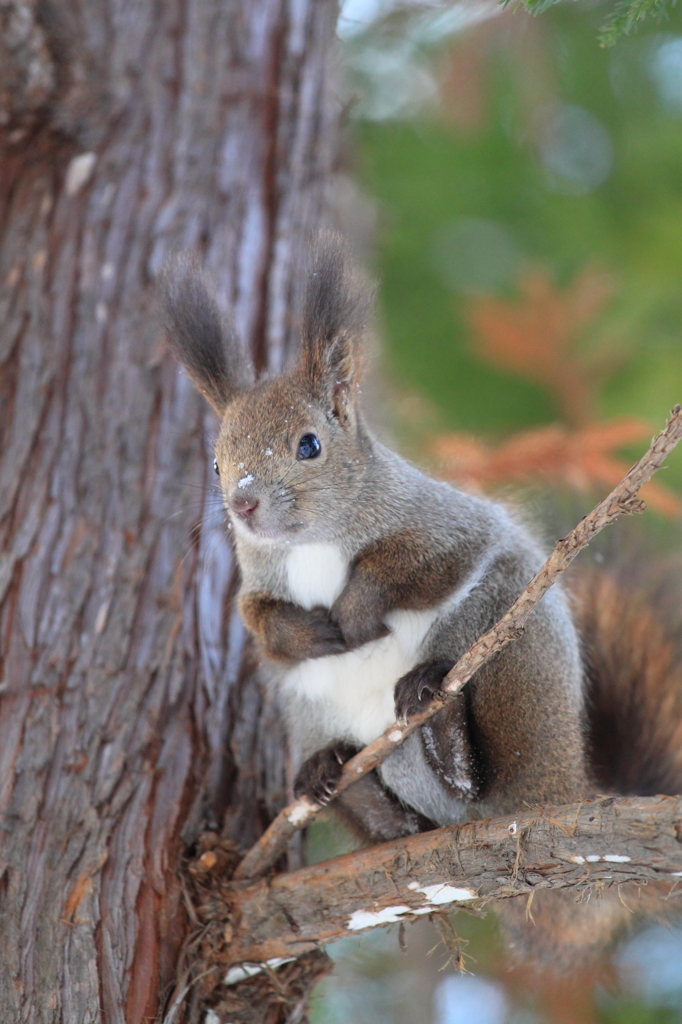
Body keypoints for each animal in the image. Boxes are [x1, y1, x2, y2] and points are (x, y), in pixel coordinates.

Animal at [161, 234, 679, 958]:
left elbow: (412, 565)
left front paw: (352, 614)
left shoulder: (442, 525)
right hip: (308, 708)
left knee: (479, 778)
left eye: (309, 445)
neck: (309, 544)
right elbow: (257, 620)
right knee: (410, 823)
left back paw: (442, 724)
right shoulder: (258, 583)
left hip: (515, 660)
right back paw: (336, 782)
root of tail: (568, 789)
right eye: (216, 460)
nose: (243, 505)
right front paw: (307, 633)